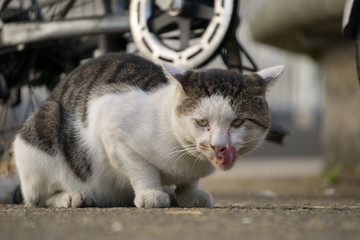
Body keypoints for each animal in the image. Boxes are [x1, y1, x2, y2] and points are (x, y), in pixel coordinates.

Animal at [9, 53, 282, 208]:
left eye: (237, 123)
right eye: (202, 122)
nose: (219, 146)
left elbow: (189, 181)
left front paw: (189, 193)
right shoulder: (111, 125)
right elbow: (142, 169)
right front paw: (151, 194)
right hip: (41, 129)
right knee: (35, 198)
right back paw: (71, 197)